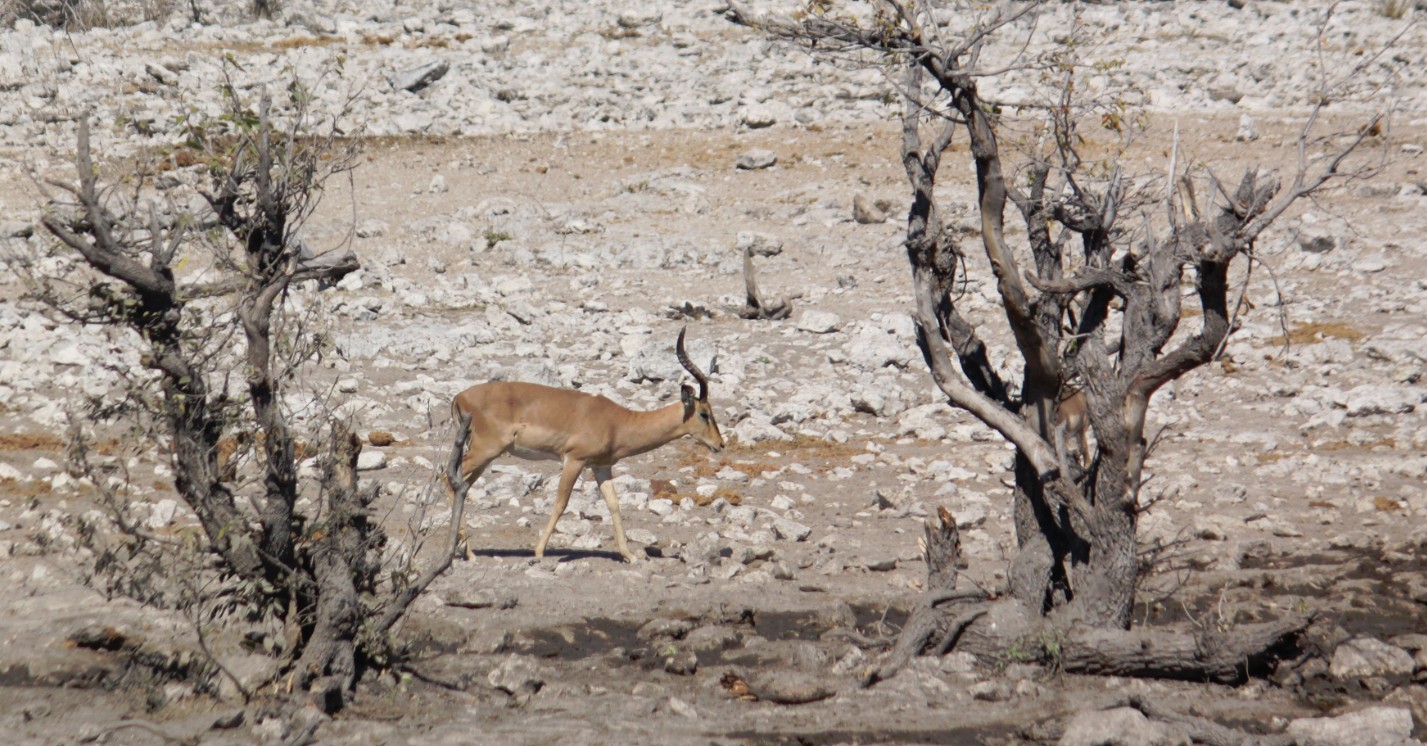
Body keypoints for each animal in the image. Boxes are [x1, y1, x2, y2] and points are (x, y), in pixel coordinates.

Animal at [450, 326, 724, 559]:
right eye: (704, 413)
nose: (720, 445)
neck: (617, 422)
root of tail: (459, 396)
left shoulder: (601, 466)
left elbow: (614, 504)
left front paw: (629, 555)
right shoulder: (574, 460)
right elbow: (561, 503)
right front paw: (538, 551)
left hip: (484, 456)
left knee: (462, 483)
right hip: (484, 451)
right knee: (451, 478)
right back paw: (468, 553)